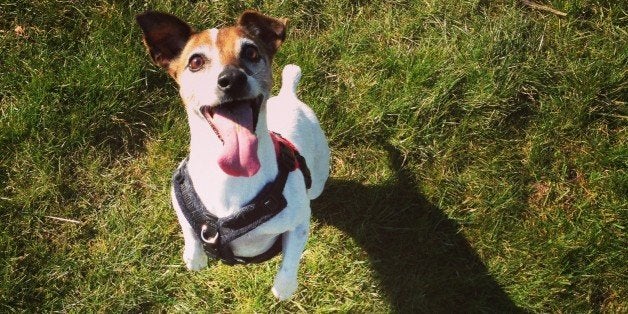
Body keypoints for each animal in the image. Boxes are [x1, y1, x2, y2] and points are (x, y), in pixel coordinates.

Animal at [136, 9, 332, 300]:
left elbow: (290, 258)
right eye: (195, 61)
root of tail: (289, 95)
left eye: (251, 52)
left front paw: (284, 287)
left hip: (318, 178)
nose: (232, 79)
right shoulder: (177, 194)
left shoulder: (298, 224)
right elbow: (188, 230)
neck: (231, 179)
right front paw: (194, 257)